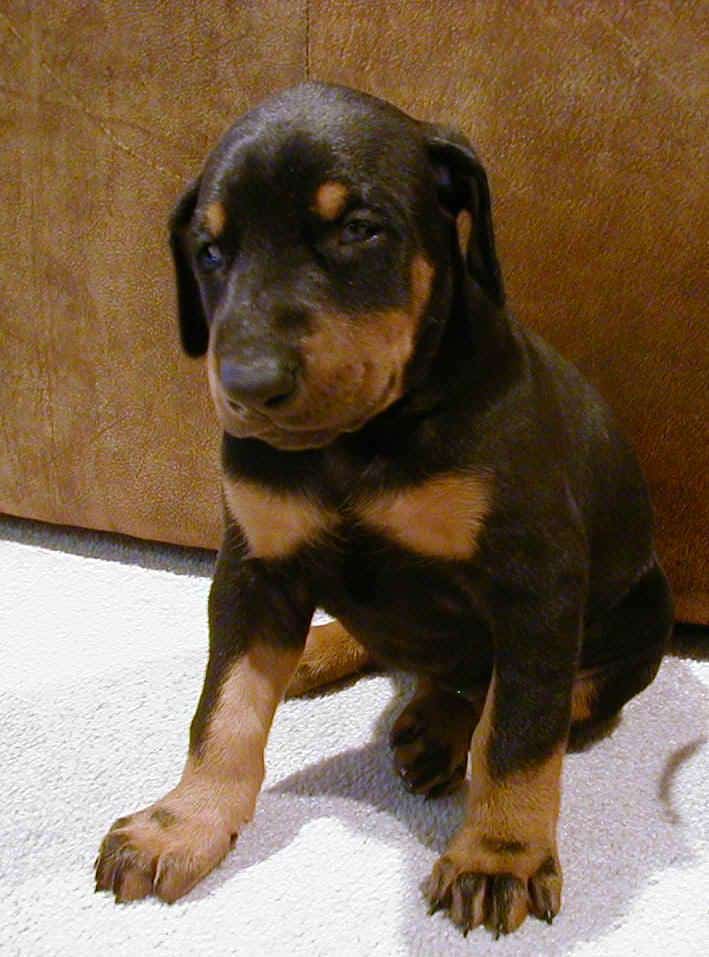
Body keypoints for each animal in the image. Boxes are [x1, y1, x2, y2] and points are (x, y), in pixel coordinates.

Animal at [92, 82, 668, 932]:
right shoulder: (253, 564)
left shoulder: (536, 580)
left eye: (358, 230)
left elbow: (519, 732)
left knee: (532, 692)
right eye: (210, 251)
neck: (358, 441)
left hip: (637, 621)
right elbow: (223, 710)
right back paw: (320, 653)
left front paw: (498, 853)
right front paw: (182, 823)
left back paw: (441, 728)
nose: (248, 385)